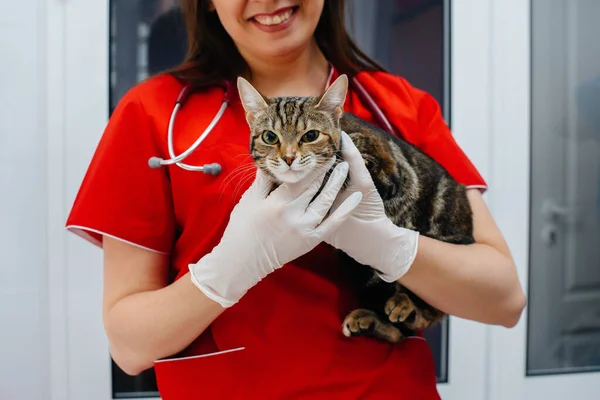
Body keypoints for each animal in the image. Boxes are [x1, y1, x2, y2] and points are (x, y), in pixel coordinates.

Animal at [234, 73, 474, 342]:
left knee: (425, 312)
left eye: (310, 136)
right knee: (397, 332)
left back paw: (405, 304)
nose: (288, 158)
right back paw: (370, 320)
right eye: (269, 137)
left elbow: (346, 166)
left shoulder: (390, 172)